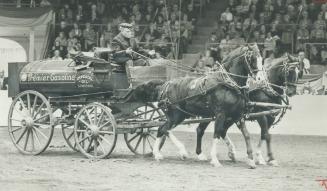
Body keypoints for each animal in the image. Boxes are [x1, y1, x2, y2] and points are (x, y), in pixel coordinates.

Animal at [132, 44, 262, 166]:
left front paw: (251, 160)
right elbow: (217, 133)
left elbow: (246, 134)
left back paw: (162, 153)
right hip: (175, 115)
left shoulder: (238, 115)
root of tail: (165, 85)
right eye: (252, 58)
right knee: (163, 129)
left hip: (180, 116)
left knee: (163, 129)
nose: (260, 78)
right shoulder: (221, 114)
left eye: (261, 58)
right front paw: (215, 160)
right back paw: (174, 152)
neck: (227, 83)